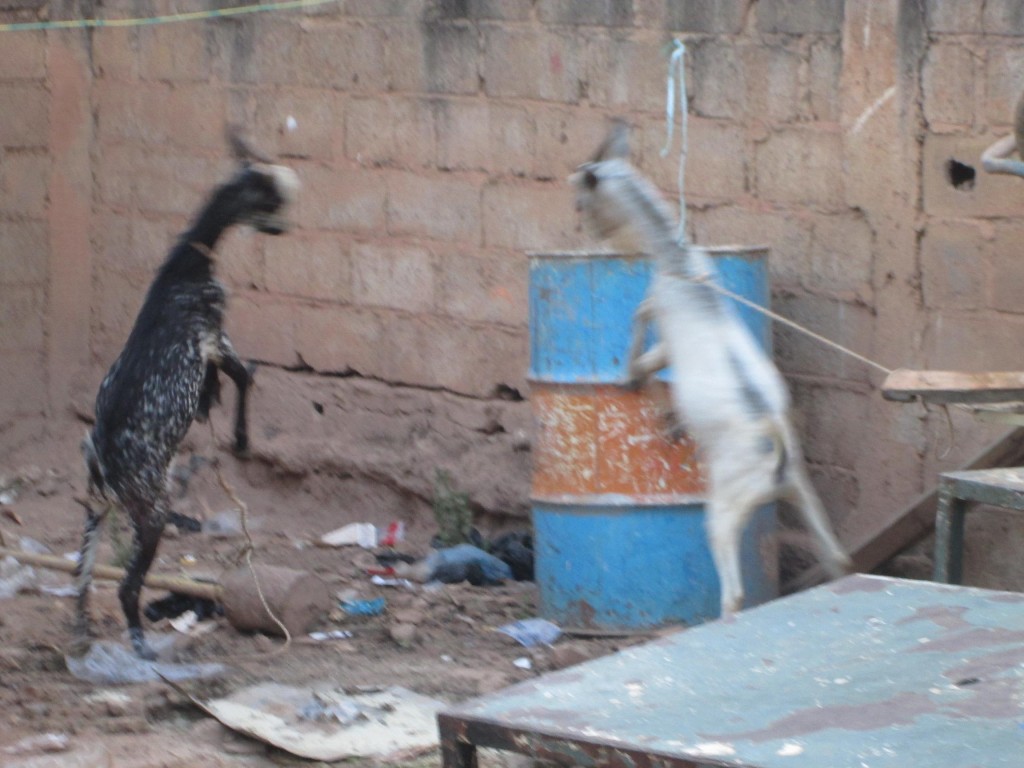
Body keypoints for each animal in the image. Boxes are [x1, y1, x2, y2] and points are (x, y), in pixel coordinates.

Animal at [70, 132, 296, 663]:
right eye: (269, 195)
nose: (283, 227)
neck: (188, 265)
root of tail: (103, 461)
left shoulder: (210, 346)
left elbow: (231, 380)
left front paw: (213, 409)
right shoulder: (213, 336)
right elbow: (246, 376)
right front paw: (240, 440)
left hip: (98, 507)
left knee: (83, 573)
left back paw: (83, 634)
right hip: (149, 509)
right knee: (128, 585)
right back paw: (140, 647)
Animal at [573, 120, 851, 618]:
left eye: (582, 201)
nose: (586, 233)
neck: (679, 264)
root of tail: (773, 447)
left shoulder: (664, 325)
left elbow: (642, 328)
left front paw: (634, 380)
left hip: (725, 507)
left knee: (734, 592)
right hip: (800, 489)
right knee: (837, 557)